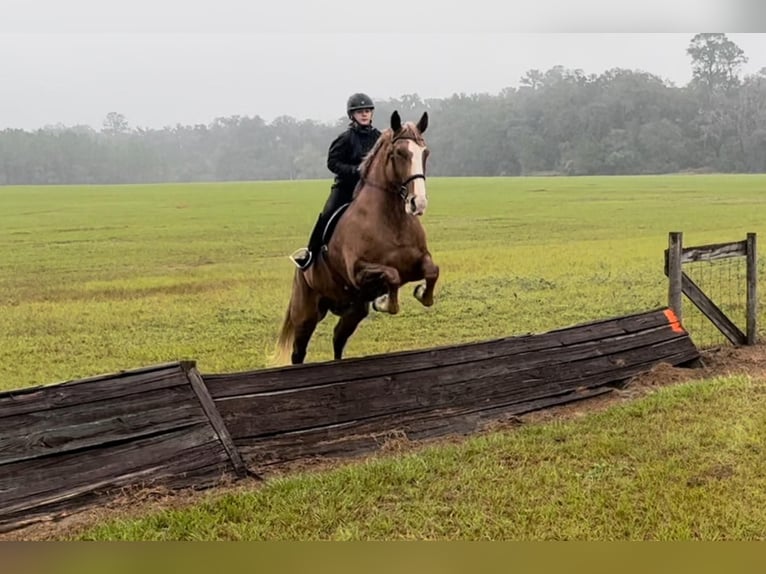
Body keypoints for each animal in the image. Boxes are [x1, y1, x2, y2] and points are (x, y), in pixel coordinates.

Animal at [278, 109, 444, 364]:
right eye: (399, 153)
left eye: (425, 152)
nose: (419, 203)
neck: (392, 220)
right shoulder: (359, 272)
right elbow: (392, 276)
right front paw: (384, 301)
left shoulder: (417, 263)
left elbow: (432, 272)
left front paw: (418, 292)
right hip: (306, 314)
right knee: (299, 351)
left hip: (353, 311)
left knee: (338, 338)